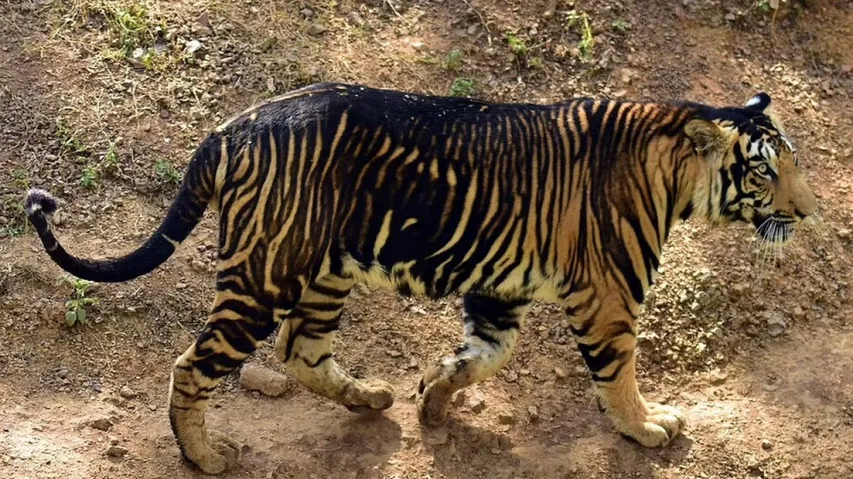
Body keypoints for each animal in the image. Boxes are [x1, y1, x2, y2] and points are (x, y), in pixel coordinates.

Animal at [24, 82, 817, 474]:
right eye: (766, 172)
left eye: (793, 164)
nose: (808, 211)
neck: (674, 173)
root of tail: (233, 125)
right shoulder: (608, 297)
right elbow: (618, 375)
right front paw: (647, 426)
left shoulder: (499, 289)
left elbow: (485, 354)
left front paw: (433, 399)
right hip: (265, 273)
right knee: (195, 363)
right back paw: (205, 456)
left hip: (324, 271)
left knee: (301, 351)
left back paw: (371, 398)